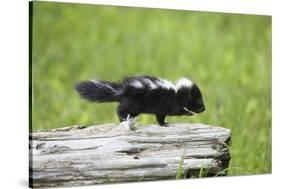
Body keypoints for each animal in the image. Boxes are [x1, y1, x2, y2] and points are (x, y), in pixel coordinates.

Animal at [74, 75, 205, 125]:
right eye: (198, 102)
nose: (204, 109)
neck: (176, 93)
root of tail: (122, 91)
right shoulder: (168, 102)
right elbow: (175, 111)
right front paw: (188, 113)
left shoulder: (162, 106)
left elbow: (160, 116)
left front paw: (164, 123)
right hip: (133, 103)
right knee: (120, 109)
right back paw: (123, 118)